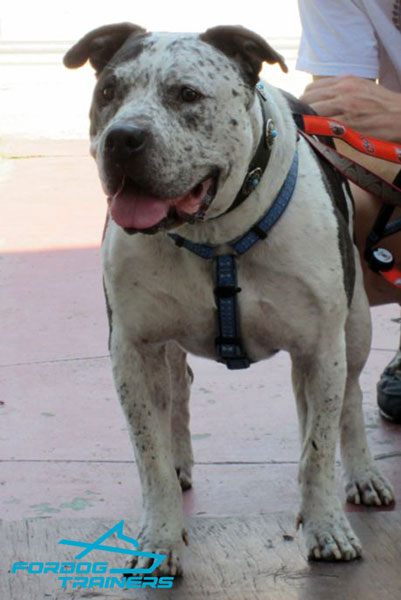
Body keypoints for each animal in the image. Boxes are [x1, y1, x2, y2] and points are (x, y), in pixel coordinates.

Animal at [64, 23, 392, 576]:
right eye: (108, 92)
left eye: (187, 94)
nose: (123, 137)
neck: (216, 234)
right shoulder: (133, 349)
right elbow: (149, 454)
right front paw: (160, 538)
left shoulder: (322, 347)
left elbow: (318, 449)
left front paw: (326, 525)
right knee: (178, 394)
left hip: (355, 330)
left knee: (345, 402)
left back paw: (362, 474)